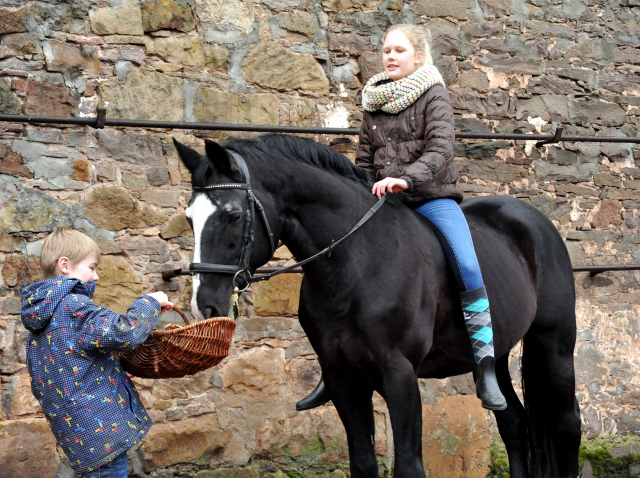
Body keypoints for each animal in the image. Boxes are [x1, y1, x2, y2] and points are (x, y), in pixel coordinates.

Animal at [172, 134, 584, 478]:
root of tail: (534, 221)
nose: (205, 305)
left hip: (554, 346)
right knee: (513, 422)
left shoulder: (399, 375)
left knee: (567, 426)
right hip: (495, 356)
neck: (356, 263)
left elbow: (409, 467)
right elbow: (363, 464)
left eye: (232, 216)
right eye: (189, 218)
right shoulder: (343, 378)